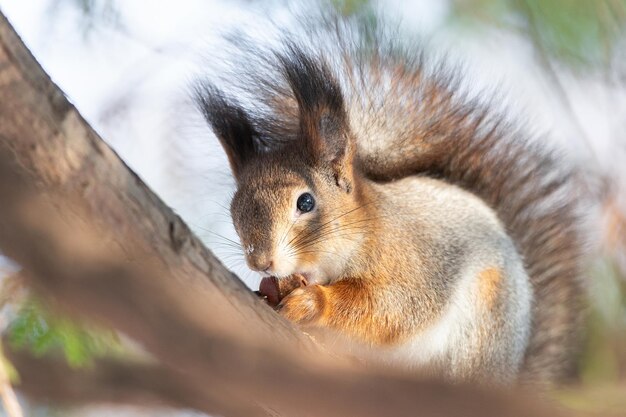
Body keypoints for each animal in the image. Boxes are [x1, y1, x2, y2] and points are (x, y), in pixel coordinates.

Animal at [193, 17, 584, 386]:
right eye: (234, 211)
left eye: (305, 202)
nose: (261, 262)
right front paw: (269, 292)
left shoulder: (410, 262)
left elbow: (388, 309)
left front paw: (313, 301)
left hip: (482, 330)